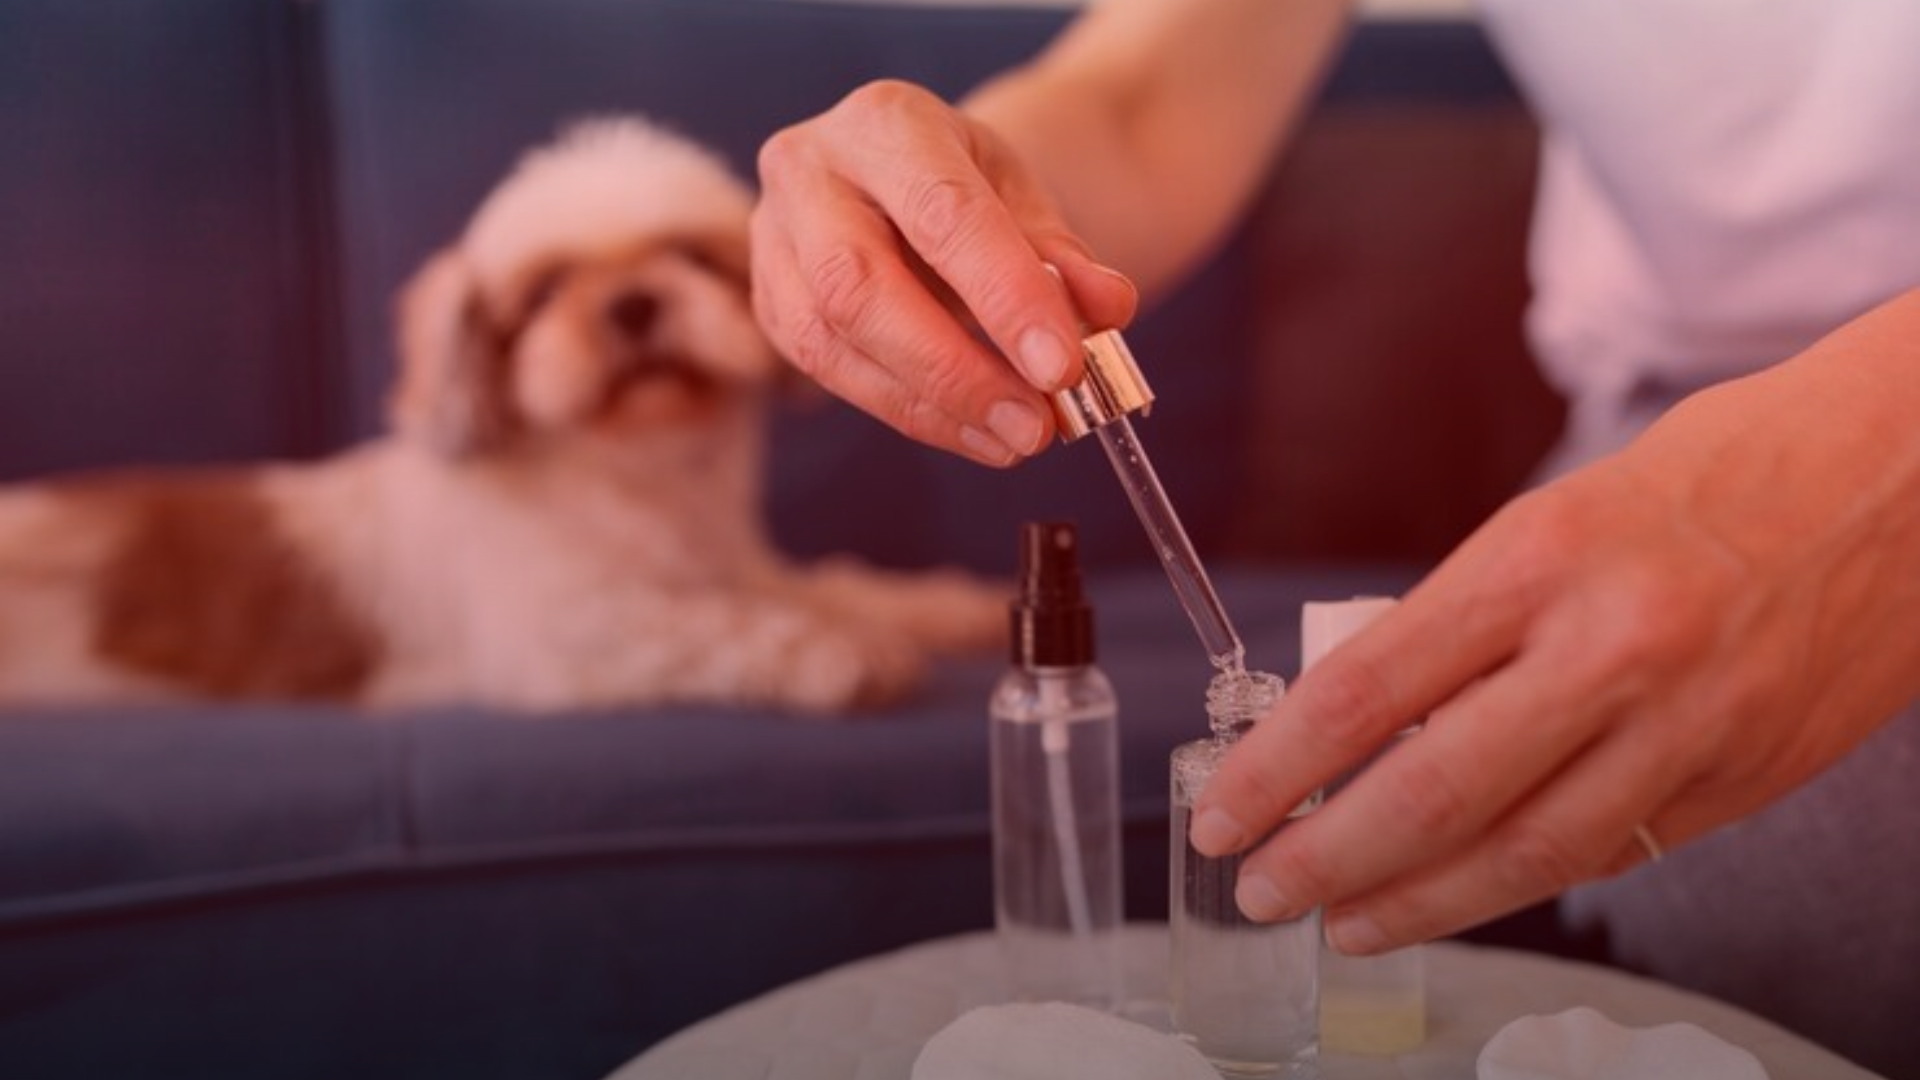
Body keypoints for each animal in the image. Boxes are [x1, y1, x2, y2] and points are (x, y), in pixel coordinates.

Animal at [0, 115, 1013, 714]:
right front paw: (838, 652)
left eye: (691, 257)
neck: (633, 481)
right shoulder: (565, 640)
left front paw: (939, 606)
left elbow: (828, 583)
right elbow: (711, 626)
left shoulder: (736, 566)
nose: (632, 302)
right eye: (546, 292)